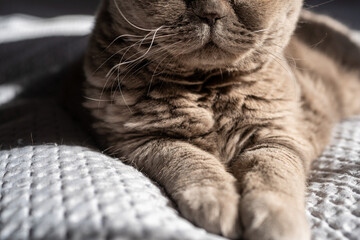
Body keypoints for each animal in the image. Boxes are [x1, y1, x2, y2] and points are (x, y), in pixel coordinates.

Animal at [81, 0, 360, 239]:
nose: (211, 13)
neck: (208, 89)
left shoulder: (279, 135)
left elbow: (272, 175)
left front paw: (277, 223)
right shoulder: (137, 140)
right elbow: (192, 161)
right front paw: (218, 202)